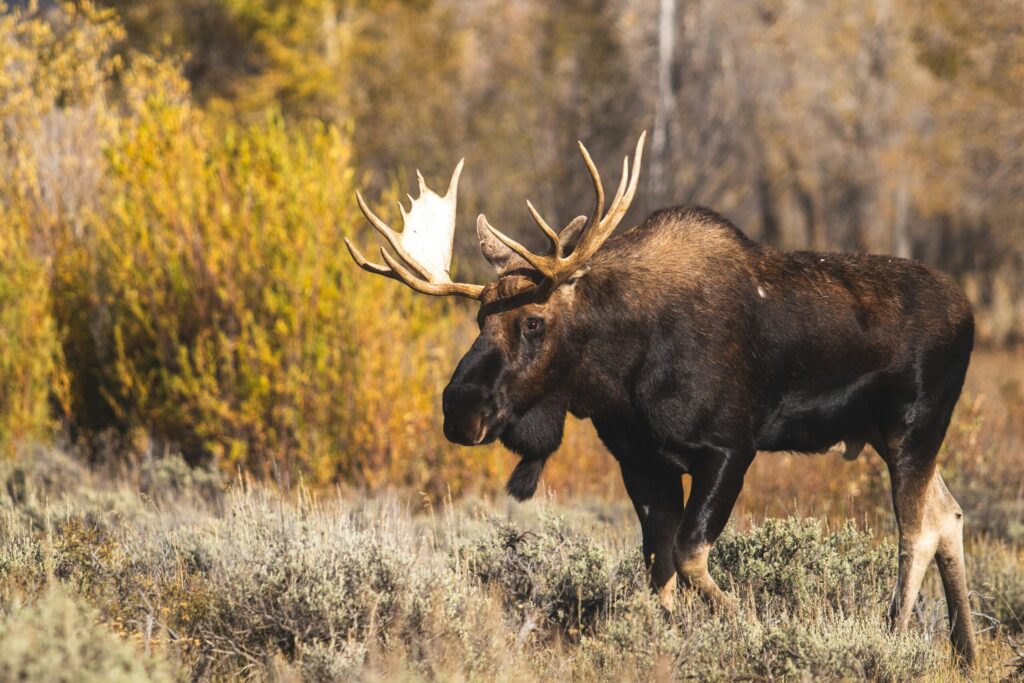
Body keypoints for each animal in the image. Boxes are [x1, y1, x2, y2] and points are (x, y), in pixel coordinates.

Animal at [344, 132, 977, 667]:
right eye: (480, 319)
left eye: (533, 322)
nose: (460, 409)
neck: (619, 376)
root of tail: (969, 313)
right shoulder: (642, 461)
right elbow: (660, 565)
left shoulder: (729, 448)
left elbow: (690, 553)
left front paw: (750, 628)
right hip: (884, 434)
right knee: (947, 514)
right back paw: (964, 651)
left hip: (914, 426)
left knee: (915, 530)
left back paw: (894, 638)